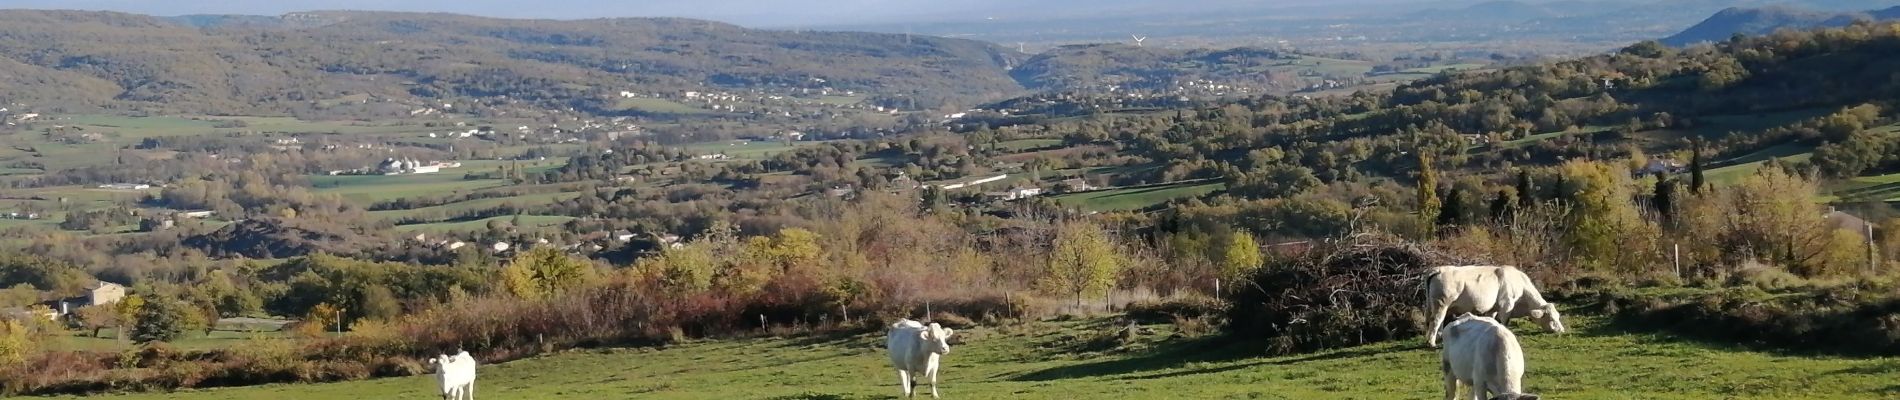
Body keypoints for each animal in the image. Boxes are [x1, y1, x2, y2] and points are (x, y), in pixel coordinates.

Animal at [1421, 265, 1565, 346]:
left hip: (1433, 305)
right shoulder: (1507, 305)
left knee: (1436, 321)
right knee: (1436, 320)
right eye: (1551, 318)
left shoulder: (1493, 309)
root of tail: (1439, 269)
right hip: (1441, 303)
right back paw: (1431, 343)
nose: (1562, 330)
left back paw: (1438, 338)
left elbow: (1491, 320)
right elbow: (1504, 322)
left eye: (1558, 317)